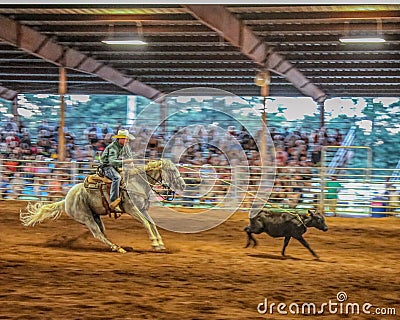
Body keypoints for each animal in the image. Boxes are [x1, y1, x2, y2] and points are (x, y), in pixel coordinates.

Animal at [20, 159, 186, 254]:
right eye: (172, 170)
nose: (183, 185)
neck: (136, 183)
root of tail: (66, 200)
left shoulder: (142, 209)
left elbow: (151, 223)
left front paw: (160, 244)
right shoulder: (132, 209)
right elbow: (146, 223)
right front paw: (155, 243)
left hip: (96, 216)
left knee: (102, 233)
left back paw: (117, 246)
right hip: (86, 218)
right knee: (98, 234)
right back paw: (118, 249)